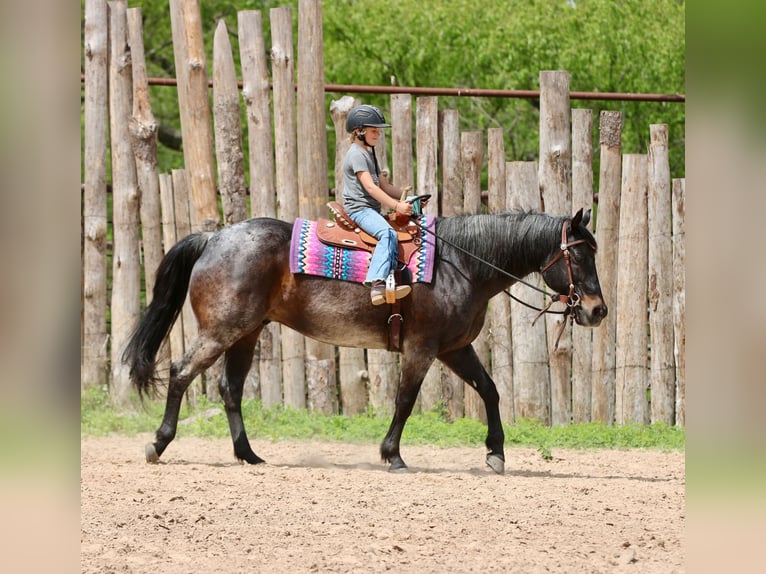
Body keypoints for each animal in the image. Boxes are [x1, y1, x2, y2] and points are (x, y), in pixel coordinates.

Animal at [123, 208, 606, 474]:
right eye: (580, 254)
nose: (598, 310)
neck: (460, 265)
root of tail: (214, 237)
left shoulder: (454, 349)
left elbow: (490, 391)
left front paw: (496, 452)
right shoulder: (422, 349)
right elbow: (405, 401)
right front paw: (392, 455)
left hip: (246, 332)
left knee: (230, 389)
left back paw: (248, 454)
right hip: (221, 330)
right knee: (180, 372)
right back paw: (158, 443)